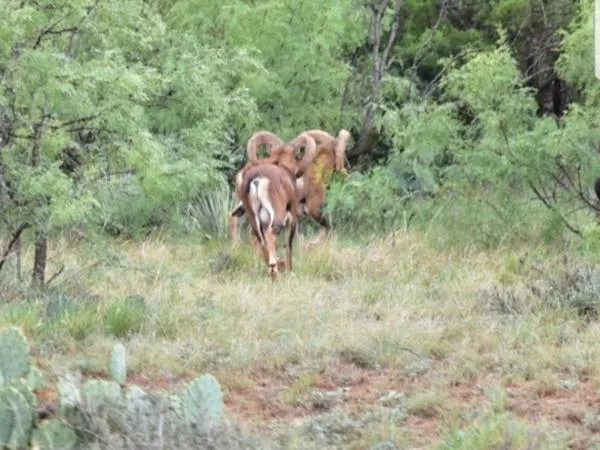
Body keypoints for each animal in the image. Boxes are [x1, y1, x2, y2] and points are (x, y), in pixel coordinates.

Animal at [238, 132, 317, 279]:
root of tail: (257, 179)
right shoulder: (292, 220)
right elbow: (288, 245)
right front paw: (291, 272)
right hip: (277, 216)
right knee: (270, 235)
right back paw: (274, 270)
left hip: (254, 219)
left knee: (261, 240)